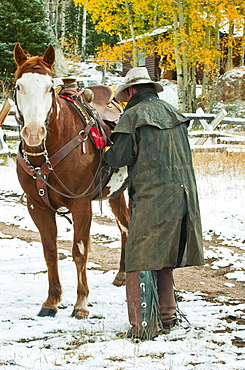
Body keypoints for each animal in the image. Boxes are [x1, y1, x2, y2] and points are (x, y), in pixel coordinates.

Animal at [13, 43, 129, 318]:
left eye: (49, 87)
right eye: (19, 86)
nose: (33, 133)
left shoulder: (81, 205)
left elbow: (79, 251)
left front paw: (81, 303)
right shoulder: (37, 206)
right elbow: (50, 251)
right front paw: (51, 301)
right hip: (116, 193)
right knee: (124, 226)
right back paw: (121, 273)